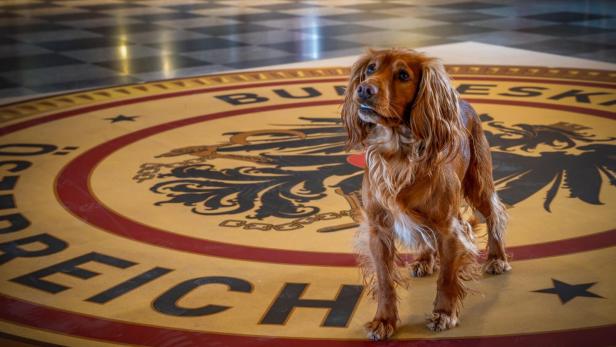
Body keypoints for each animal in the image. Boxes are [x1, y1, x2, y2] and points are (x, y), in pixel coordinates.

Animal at [342, 49, 510, 342]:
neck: (398, 153)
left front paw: (444, 313)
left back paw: (497, 258)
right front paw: (384, 321)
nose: (363, 89)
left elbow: (447, 277)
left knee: (494, 214)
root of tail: (462, 102)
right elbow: (385, 281)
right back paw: (424, 258)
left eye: (403, 75)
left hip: (478, 184)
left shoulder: (448, 229)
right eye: (371, 69)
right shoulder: (378, 230)